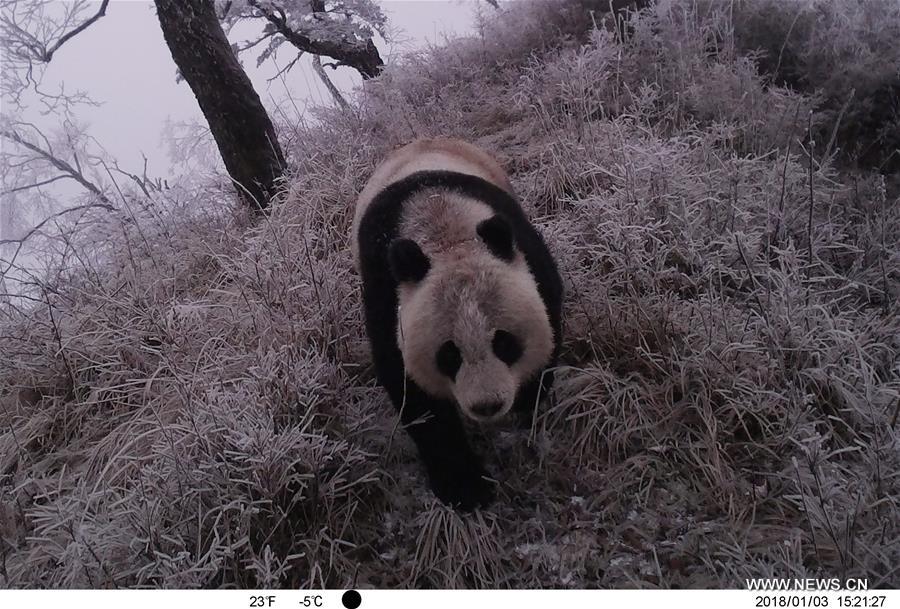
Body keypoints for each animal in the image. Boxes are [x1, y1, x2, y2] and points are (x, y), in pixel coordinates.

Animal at [352, 137, 563, 510]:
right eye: (449, 354)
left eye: (503, 342)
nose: (488, 405)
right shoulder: (386, 293)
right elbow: (413, 391)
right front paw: (466, 488)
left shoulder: (529, 258)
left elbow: (549, 322)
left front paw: (529, 402)